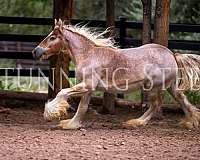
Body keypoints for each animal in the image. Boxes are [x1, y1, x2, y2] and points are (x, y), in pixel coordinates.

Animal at [32, 19, 199, 130]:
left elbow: (62, 92)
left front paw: (51, 113)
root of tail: (172, 54)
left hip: (153, 88)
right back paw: (190, 122)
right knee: (183, 101)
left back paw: (135, 122)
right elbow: (82, 107)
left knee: (156, 105)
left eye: (52, 37)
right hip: (171, 87)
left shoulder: (87, 85)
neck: (88, 55)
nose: (35, 51)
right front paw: (72, 124)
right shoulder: (89, 89)